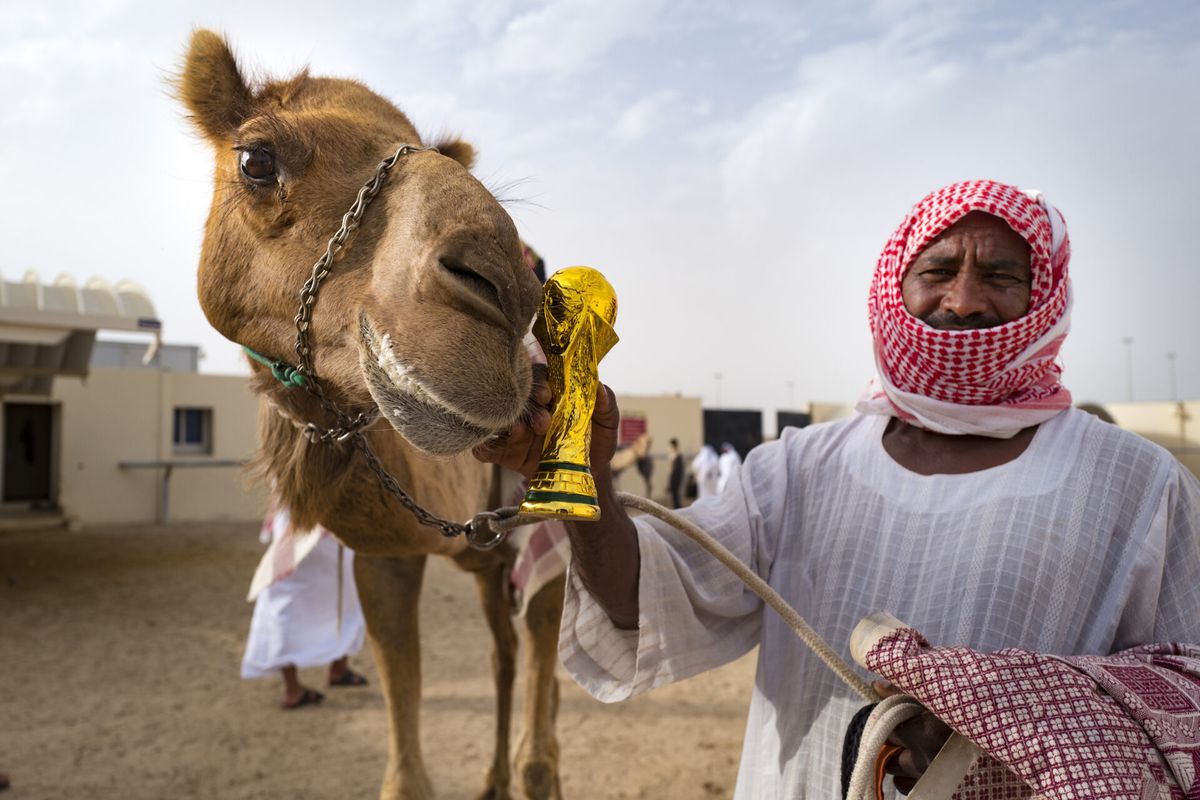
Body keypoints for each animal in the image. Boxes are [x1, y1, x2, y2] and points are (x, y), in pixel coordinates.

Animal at [176, 31, 566, 800]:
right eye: (256, 158)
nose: (508, 291)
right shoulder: (386, 556)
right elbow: (406, 773)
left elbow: (539, 746)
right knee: (504, 654)